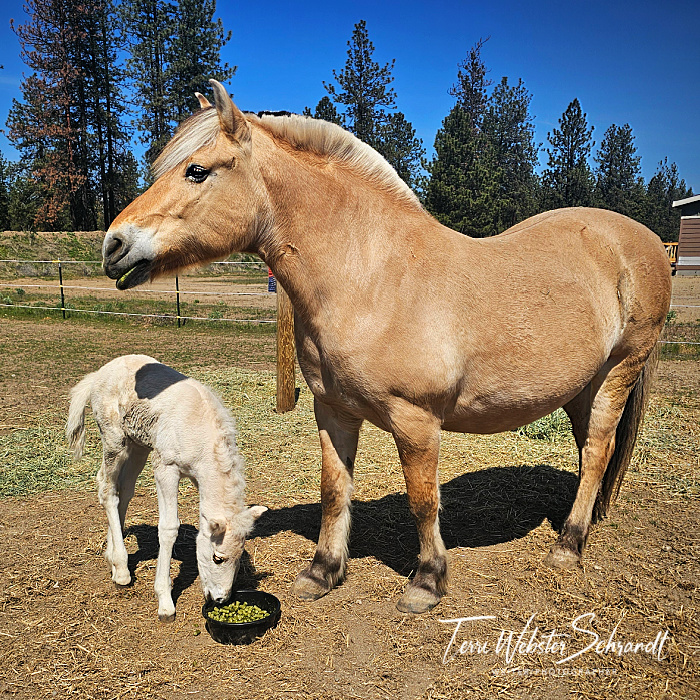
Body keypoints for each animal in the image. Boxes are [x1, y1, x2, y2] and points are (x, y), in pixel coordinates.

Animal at [66, 354, 267, 621]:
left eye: (238, 557)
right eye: (217, 558)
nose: (221, 599)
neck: (200, 433)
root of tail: (97, 375)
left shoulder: (196, 475)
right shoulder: (166, 466)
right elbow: (169, 527)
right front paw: (165, 601)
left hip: (139, 445)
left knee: (124, 491)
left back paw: (113, 559)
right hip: (114, 439)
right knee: (106, 487)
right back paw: (122, 572)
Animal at [101, 80, 671, 614]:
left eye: (196, 171)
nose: (113, 245)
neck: (372, 277)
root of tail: (641, 239)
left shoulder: (415, 420)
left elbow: (423, 502)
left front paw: (427, 582)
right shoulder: (332, 410)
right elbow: (334, 490)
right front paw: (323, 572)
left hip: (618, 371)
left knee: (597, 450)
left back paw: (569, 545)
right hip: (581, 385)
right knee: (588, 450)